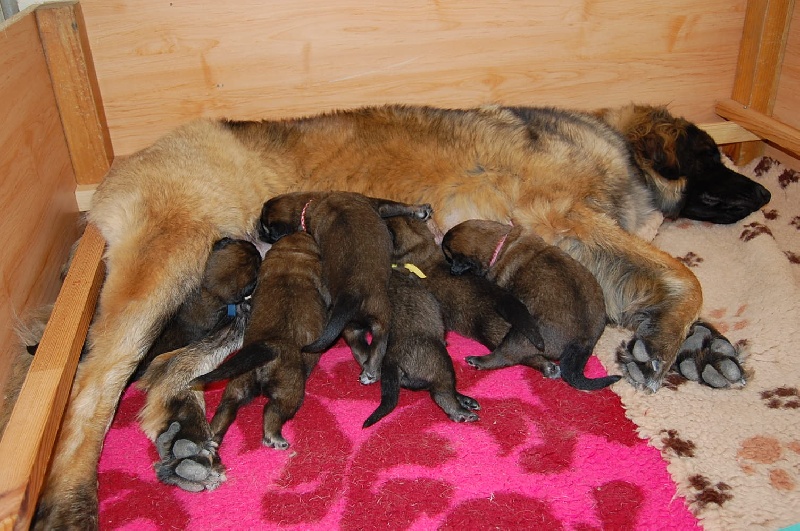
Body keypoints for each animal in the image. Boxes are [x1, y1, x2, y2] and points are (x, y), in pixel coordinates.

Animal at [192, 232, 330, 448]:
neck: (290, 262)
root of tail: (266, 348)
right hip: (289, 388)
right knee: (273, 411)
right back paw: (274, 437)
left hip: (238, 383)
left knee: (226, 409)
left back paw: (213, 438)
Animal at [260, 191, 432, 386]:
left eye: (264, 226)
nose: (258, 233)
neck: (309, 205)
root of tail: (349, 293)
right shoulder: (376, 203)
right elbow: (398, 206)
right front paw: (420, 210)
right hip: (379, 309)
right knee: (379, 336)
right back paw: (372, 368)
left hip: (349, 326)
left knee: (359, 346)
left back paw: (369, 370)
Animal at [440, 220, 620, 390]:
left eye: (449, 258)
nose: (451, 270)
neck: (499, 245)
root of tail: (582, 341)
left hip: (522, 334)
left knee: (506, 356)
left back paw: (478, 360)